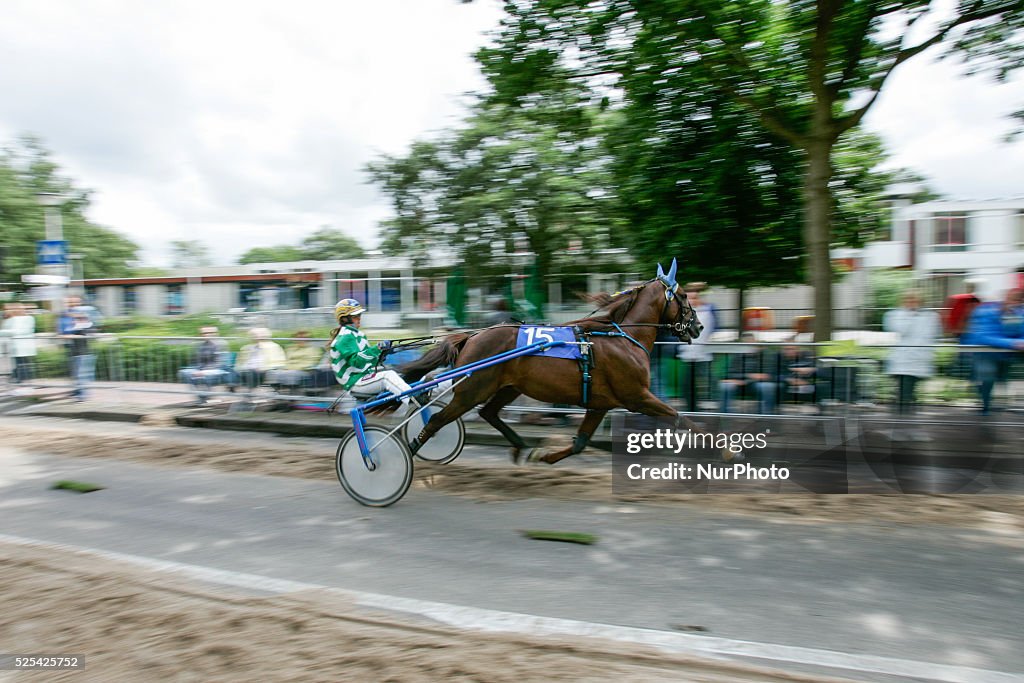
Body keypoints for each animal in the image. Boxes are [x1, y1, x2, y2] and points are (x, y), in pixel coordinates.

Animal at [399, 262, 704, 464]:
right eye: (684, 296)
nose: (698, 326)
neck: (623, 339)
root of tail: (471, 336)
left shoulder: (600, 403)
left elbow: (580, 443)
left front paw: (543, 455)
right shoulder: (637, 396)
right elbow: (680, 417)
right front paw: (715, 446)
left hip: (508, 387)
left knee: (489, 413)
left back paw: (520, 446)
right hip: (472, 390)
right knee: (437, 420)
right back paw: (408, 452)